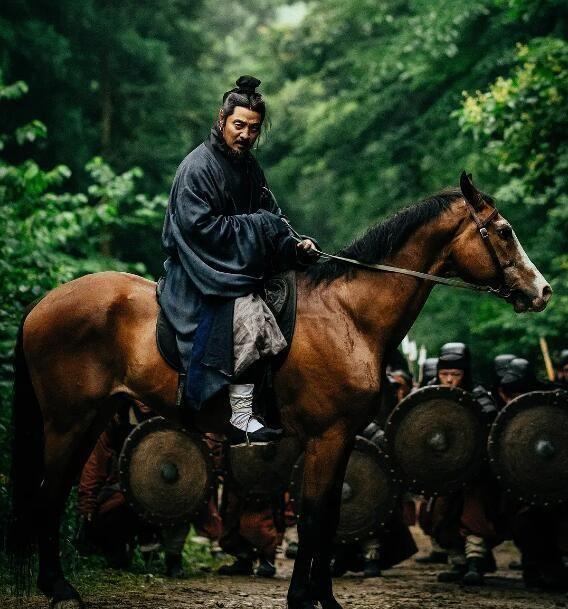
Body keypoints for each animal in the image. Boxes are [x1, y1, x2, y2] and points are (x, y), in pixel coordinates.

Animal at [7, 173, 552, 604]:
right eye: (504, 230)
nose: (542, 290)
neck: (349, 316)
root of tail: (42, 304)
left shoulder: (336, 440)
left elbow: (326, 517)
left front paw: (315, 598)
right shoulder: (328, 437)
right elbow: (314, 519)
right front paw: (310, 599)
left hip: (91, 420)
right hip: (68, 422)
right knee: (48, 498)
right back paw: (59, 589)